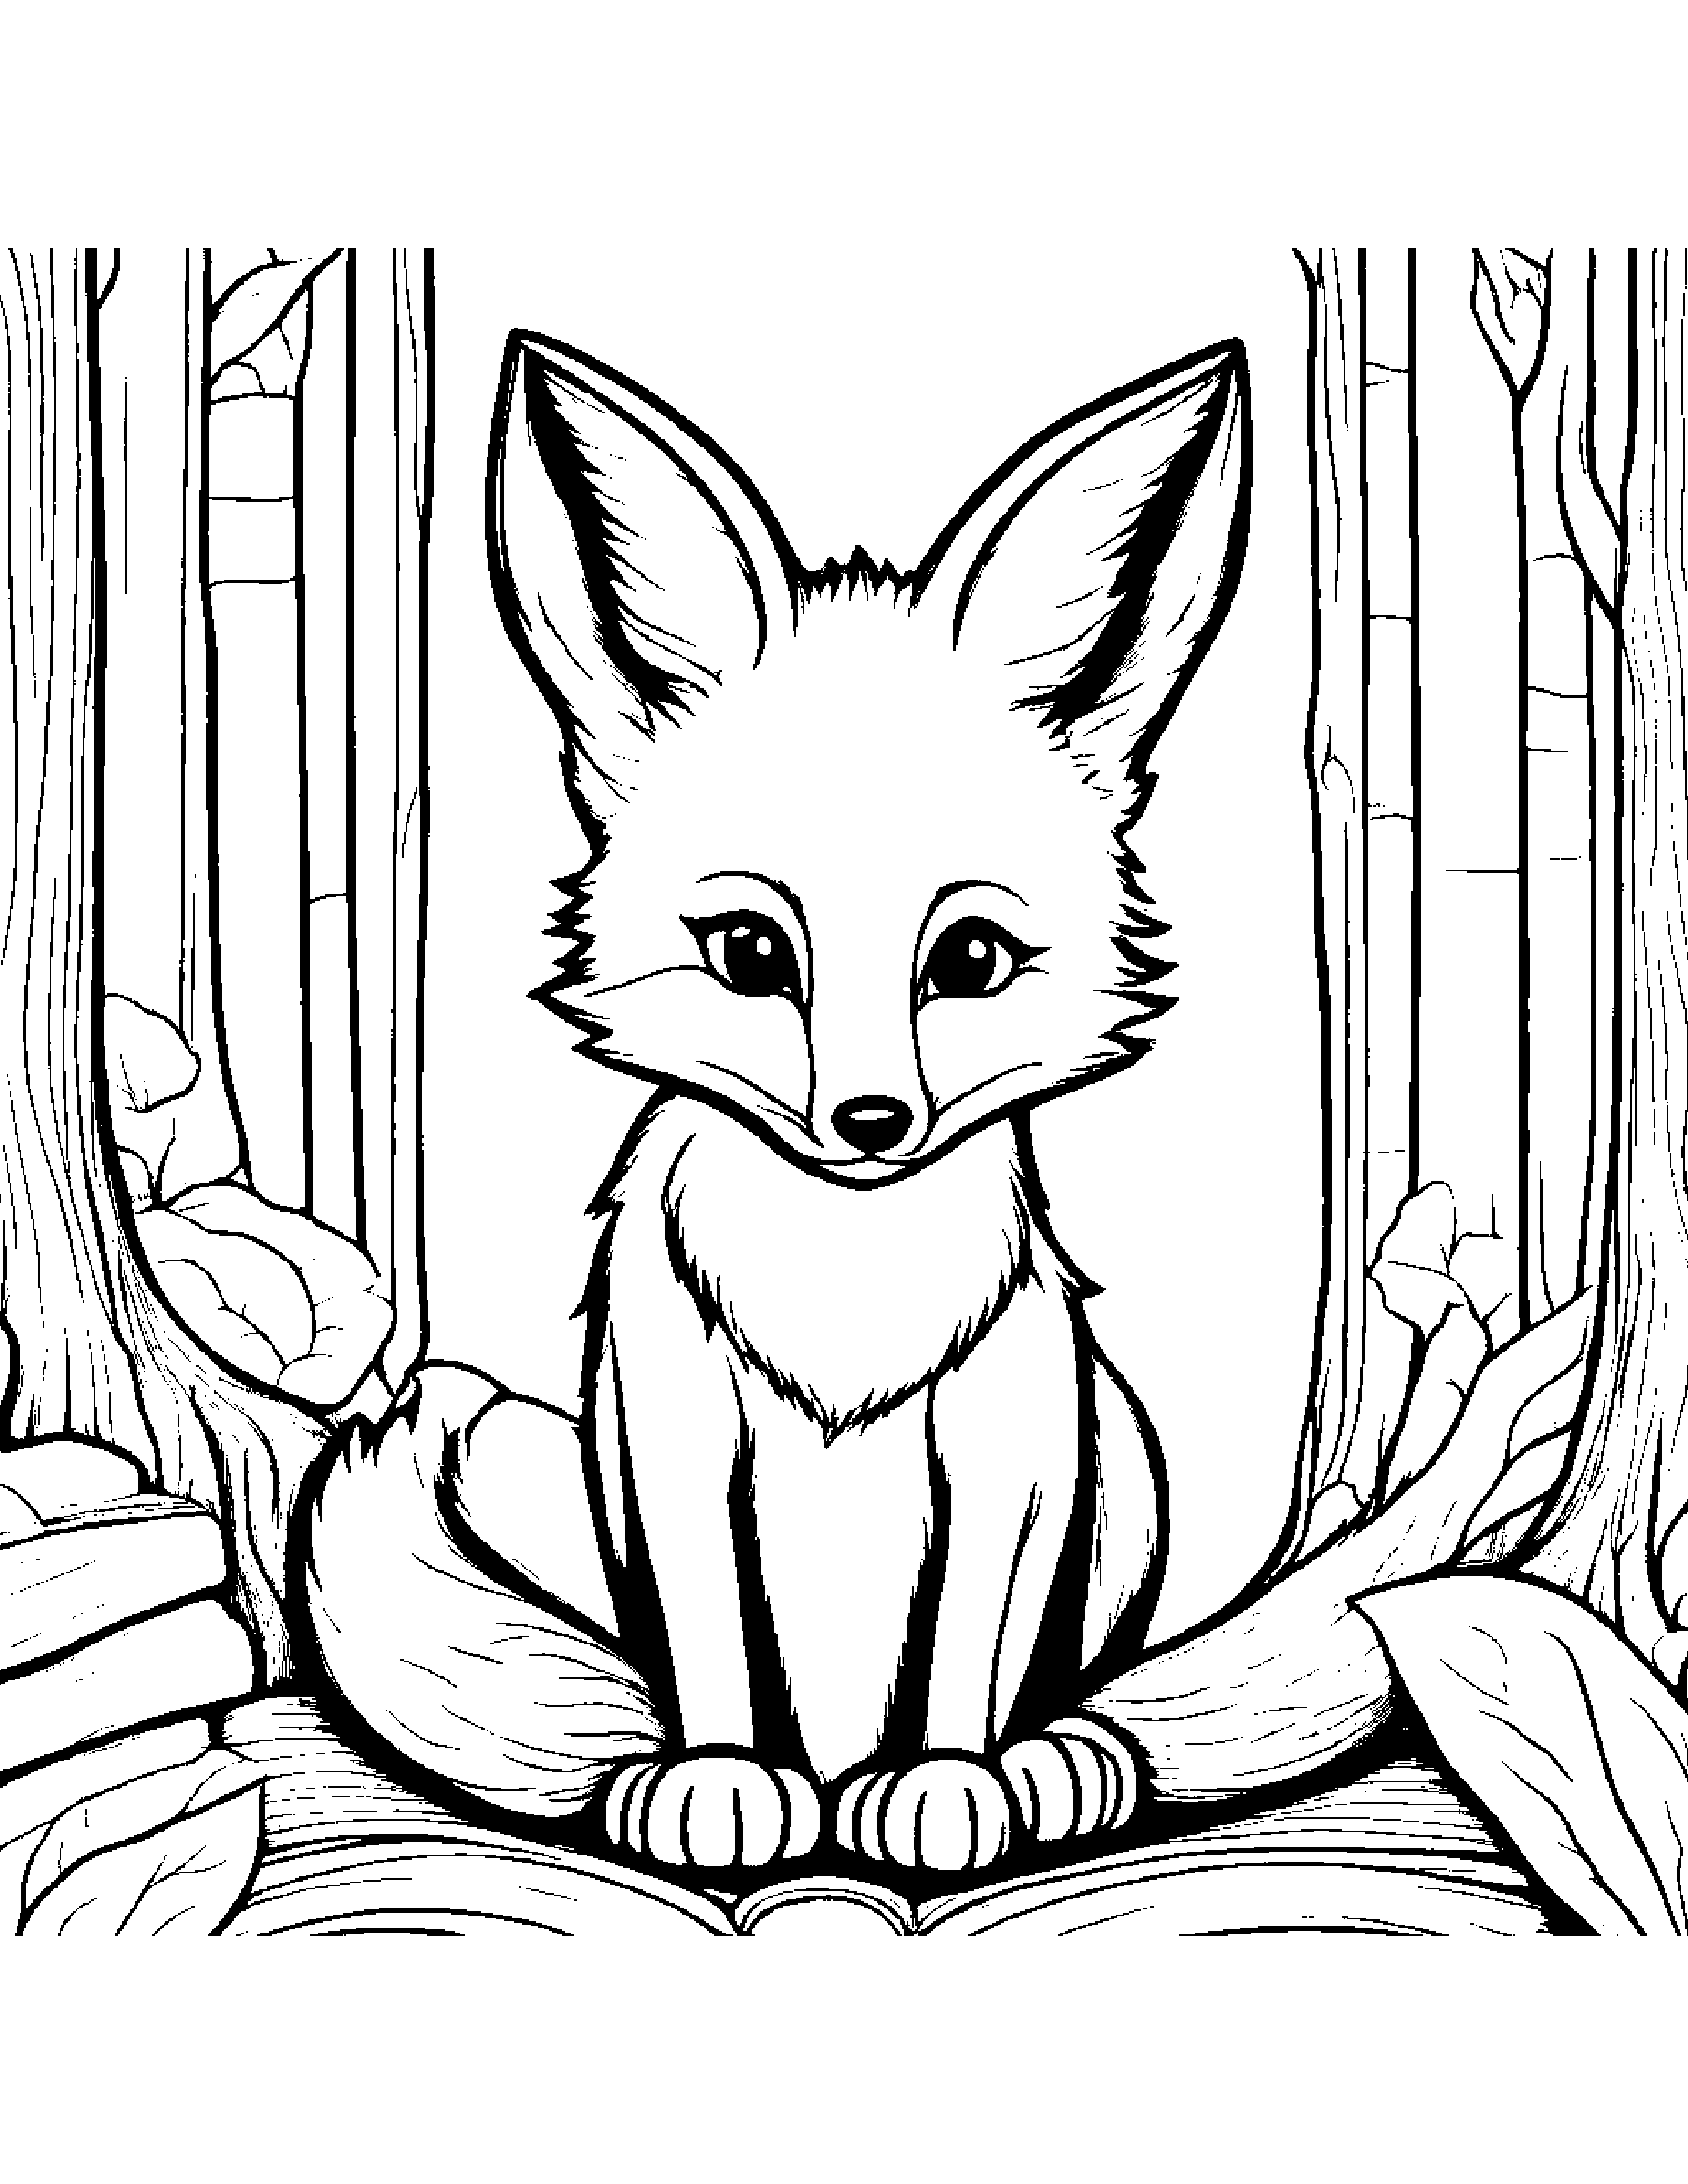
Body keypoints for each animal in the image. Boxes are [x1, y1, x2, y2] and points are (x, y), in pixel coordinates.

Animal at [296, 327, 1250, 1878]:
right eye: (752, 953)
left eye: (969, 961)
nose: (872, 1124)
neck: (841, 1280)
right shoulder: (673, 1429)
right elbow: (707, 1642)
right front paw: (721, 1783)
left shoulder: (1014, 1439)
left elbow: (971, 1650)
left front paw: (948, 1784)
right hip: (521, 1453)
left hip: (1125, 1466)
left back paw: (1053, 1766)